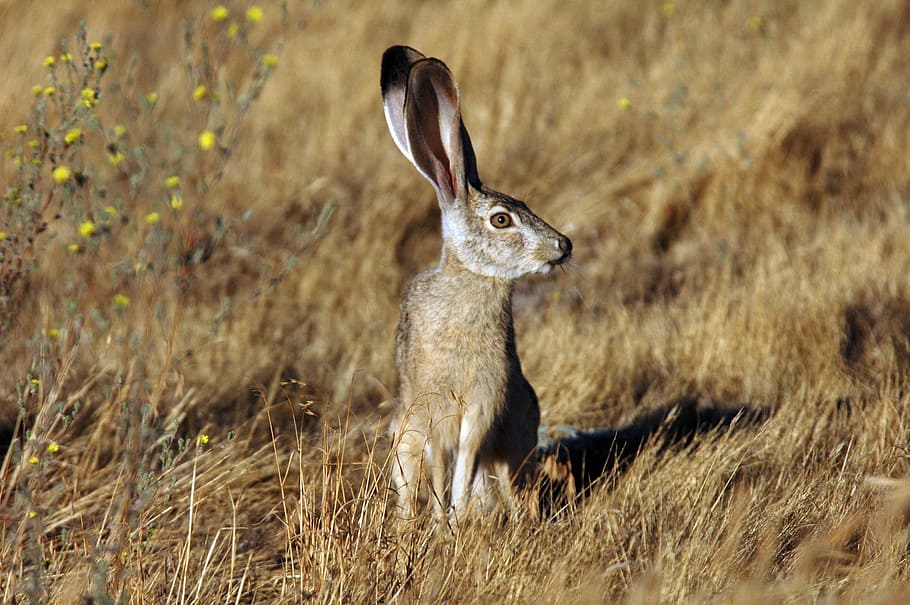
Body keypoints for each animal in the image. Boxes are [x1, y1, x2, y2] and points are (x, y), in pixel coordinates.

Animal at [381, 45, 572, 521]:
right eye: (502, 220)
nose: (563, 246)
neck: (472, 277)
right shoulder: (432, 407)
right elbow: (440, 462)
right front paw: (442, 521)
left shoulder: (486, 402)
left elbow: (466, 458)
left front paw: (455, 514)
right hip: (404, 436)